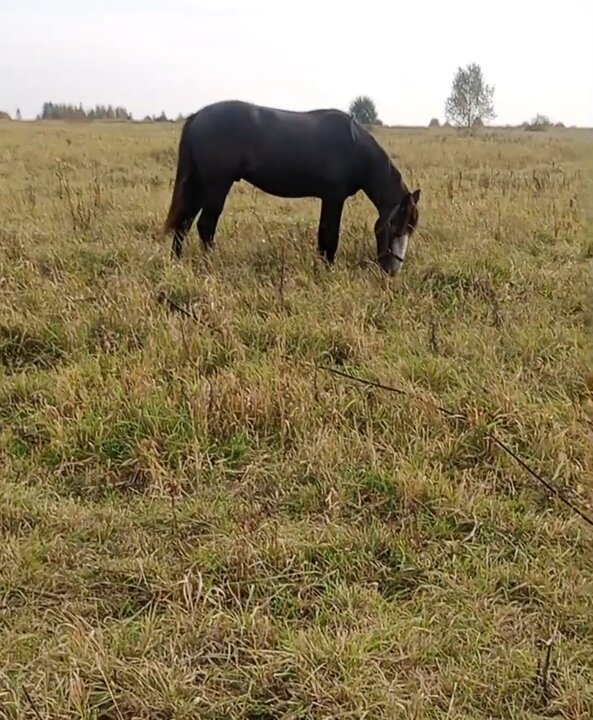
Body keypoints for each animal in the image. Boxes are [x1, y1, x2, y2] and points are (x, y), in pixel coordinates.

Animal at [163, 98, 420, 272]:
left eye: (411, 229)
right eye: (395, 226)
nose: (393, 271)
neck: (355, 147)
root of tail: (198, 115)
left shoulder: (329, 198)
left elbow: (323, 235)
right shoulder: (334, 197)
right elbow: (329, 237)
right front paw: (327, 271)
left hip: (200, 184)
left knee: (183, 224)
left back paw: (177, 264)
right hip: (216, 185)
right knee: (205, 226)